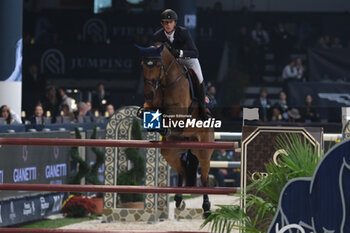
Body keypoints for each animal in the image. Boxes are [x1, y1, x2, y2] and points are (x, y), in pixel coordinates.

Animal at [137, 44, 216, 217]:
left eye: (158, 65)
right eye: (142, 65)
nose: (148, 93)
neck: (166, 83)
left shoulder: (179, 113)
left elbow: (169, 117)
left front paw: (163, 128)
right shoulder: (150, 104)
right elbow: (146, 111)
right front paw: (158, 127)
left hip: (204, 151)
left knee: (205, 178)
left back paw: (206, 207)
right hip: (170, 151)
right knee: (182, 170)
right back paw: (179, 200)